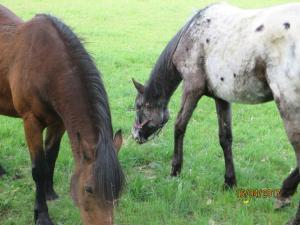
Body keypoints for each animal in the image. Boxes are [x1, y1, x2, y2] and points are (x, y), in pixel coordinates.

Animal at [0, 3, 124, 225]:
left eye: (118, 191)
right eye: (89, 189)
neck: (45, 64)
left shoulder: (59, 122)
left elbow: (51, 157)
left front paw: (49, 192)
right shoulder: (31, 121)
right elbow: (39, 169)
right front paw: (41, 214)